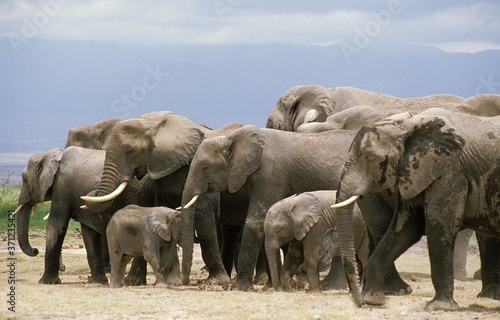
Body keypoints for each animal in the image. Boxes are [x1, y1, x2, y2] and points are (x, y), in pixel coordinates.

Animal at [15, 146, 154, 284]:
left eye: (25, 179)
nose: (35, 250)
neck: (52, 154)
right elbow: (88, 232)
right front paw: (96, 281)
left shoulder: (62, 187)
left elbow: (57, 225)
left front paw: (46, 282)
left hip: (137, 194)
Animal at [81, 110, 243, 288]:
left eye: (130, 151)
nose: (185, 281)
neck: (155, 123)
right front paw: (136, 282)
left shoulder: (204, 172)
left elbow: (204, 220)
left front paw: (215, 282)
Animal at [179, 125, 368, 296]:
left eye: (205, 167)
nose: (185, 282)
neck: (230, 138)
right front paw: (270, 287)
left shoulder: (270, 175)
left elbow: (255, 222)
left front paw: (239, 288)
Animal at [332, 109, 500, 312]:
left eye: (371, 159)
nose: (359, 303)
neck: (408, 125)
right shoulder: (416, 171)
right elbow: (407, 228)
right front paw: (374, 300)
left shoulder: (450, 171)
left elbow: (437, 225)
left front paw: (439, 307)